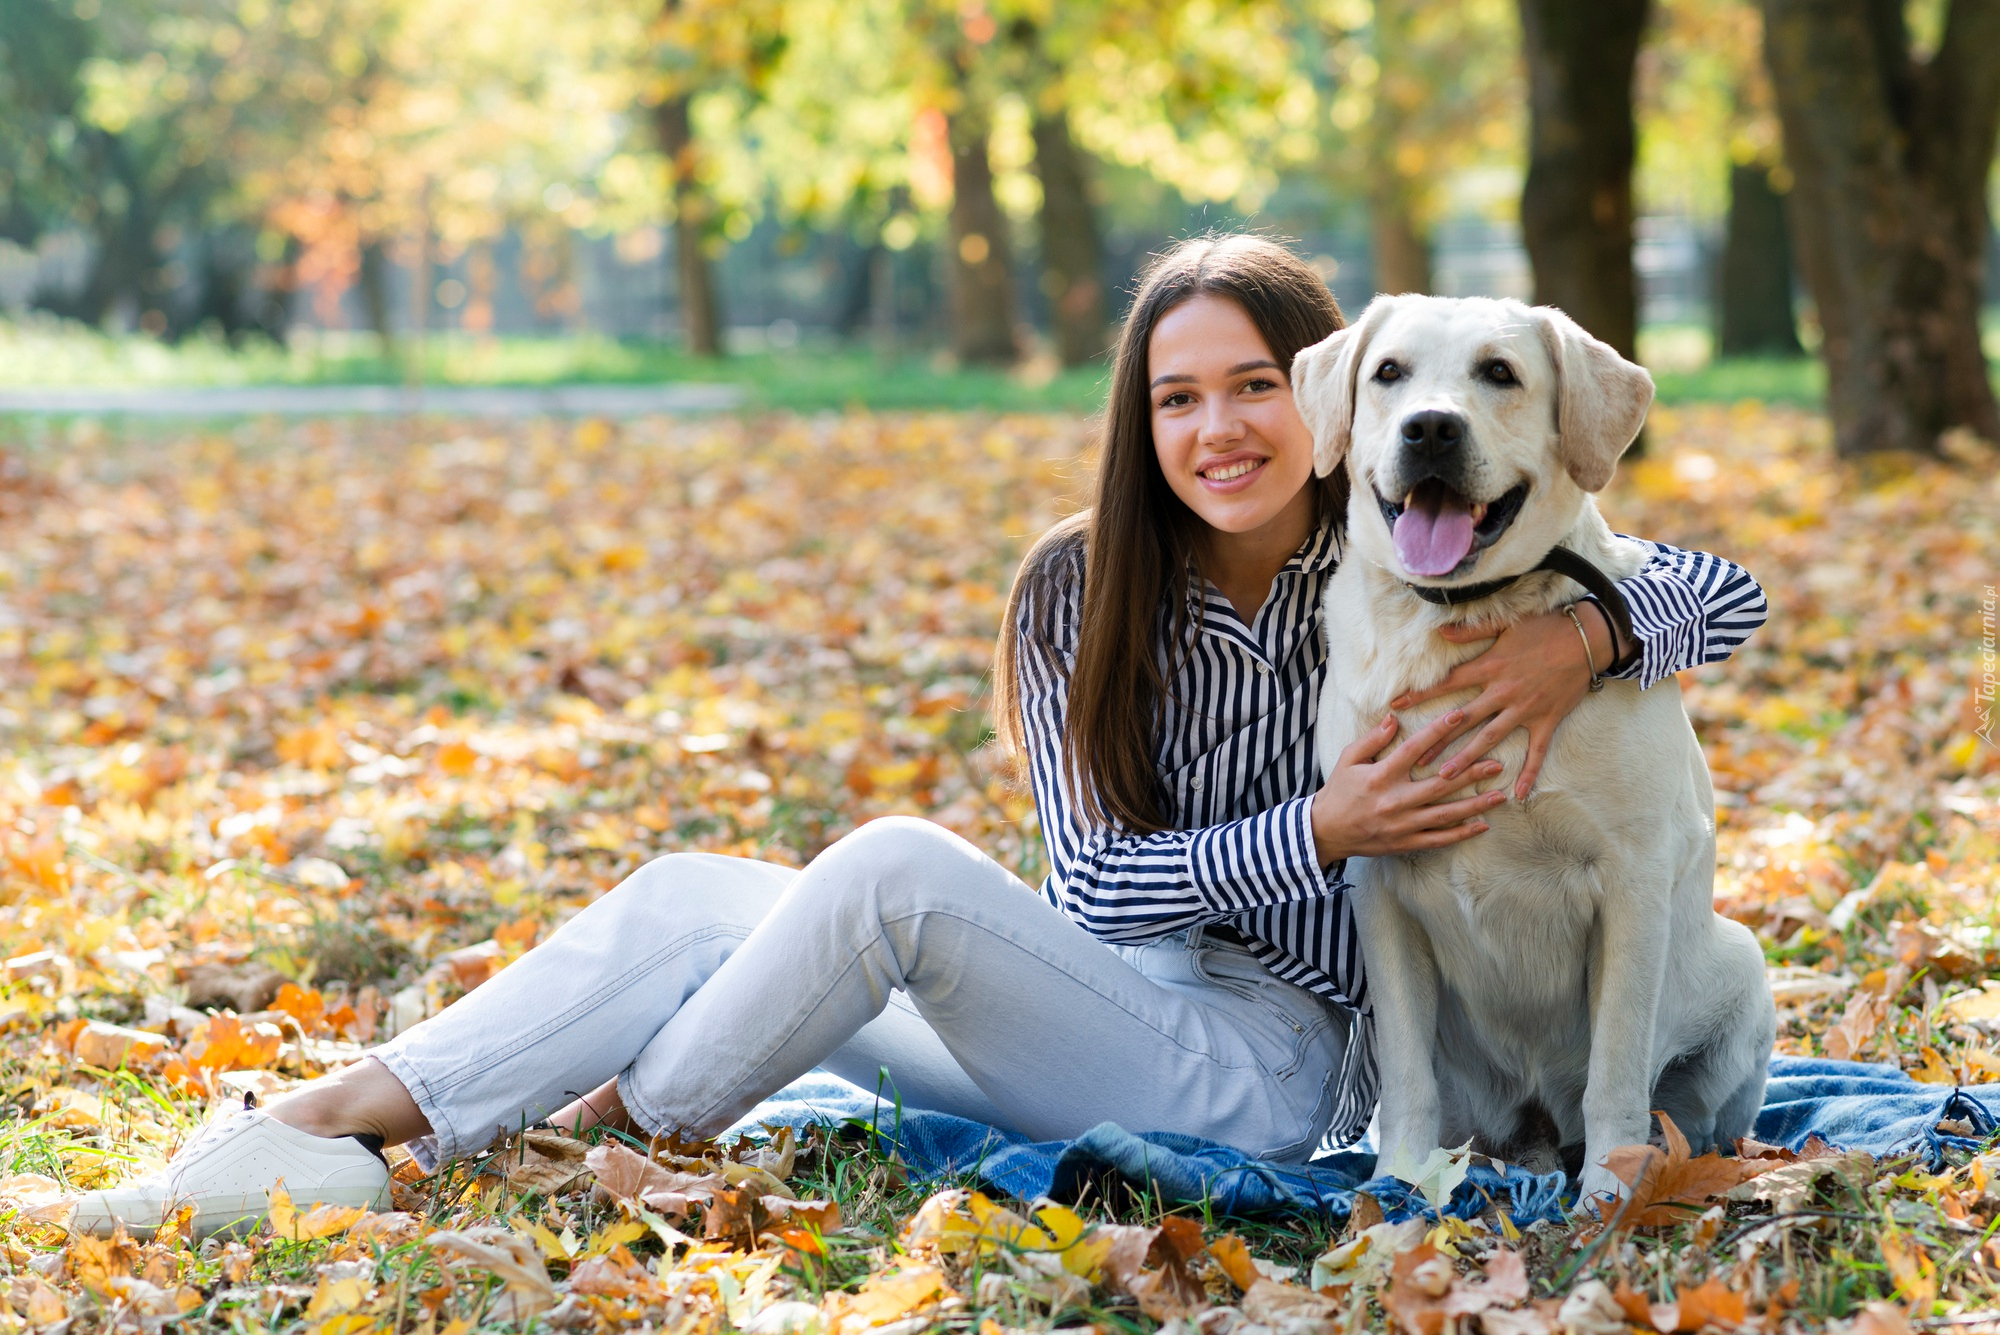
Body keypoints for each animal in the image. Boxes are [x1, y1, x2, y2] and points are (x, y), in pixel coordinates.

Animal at [1288, 297, 1776, 1207]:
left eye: (1500, 373)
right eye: (1389, 372)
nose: (1430, 428)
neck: (1464, 620)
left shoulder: (1632, 876)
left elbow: (1617, 1064)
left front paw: (1609, 1198)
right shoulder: (1378, 880)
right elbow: (1406, 1071)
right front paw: (1396, 1187)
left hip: (1742, 964)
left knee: (1687, 1114)